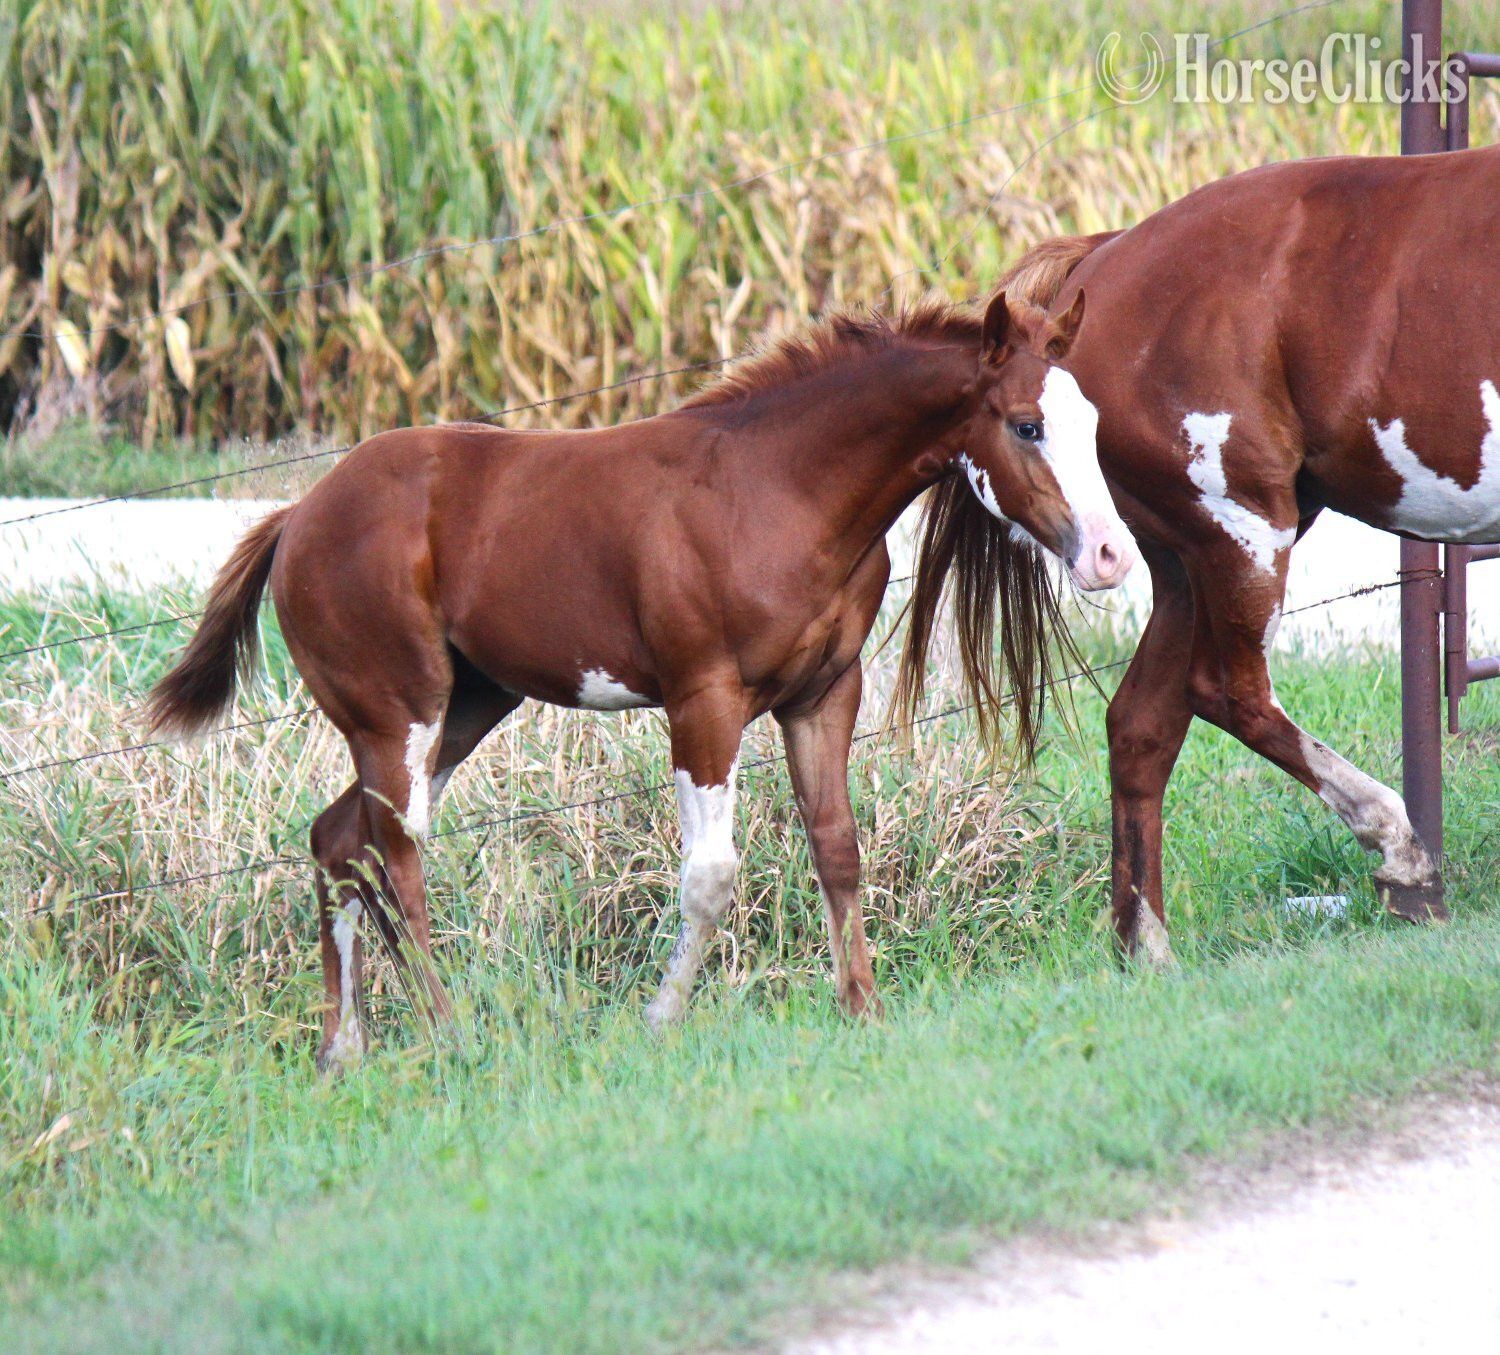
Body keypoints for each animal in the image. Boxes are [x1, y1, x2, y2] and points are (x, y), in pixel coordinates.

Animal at [147, 293, 1136, 1071]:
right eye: (1026, 424)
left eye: (1092, 424)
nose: (1110, 556)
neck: (775, 489)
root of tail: (297, 514)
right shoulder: (705, 702)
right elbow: (711, 874)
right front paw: (659, 1019)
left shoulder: (823, 695)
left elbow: (838, 845)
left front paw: (862, 1007)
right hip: (398, 714)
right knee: (395, 849)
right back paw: (449, 1030)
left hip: (463, 708)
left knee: (338, 837)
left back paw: (341, 1047)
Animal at [977, 142, 1500, 964]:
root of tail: (1105, 256)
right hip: (1246, 530)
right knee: (1230, 693)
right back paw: (1404, 857)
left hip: (1186, 563)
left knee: (1141, 723)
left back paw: (1147, 949)